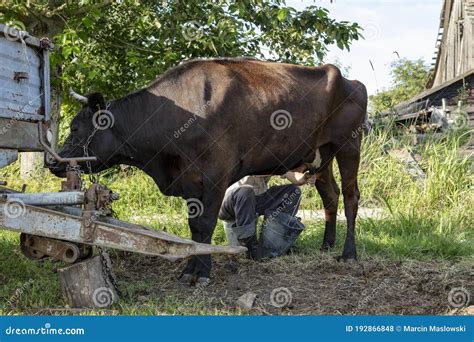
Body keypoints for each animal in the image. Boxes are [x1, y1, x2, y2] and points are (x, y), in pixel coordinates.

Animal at [52, 57, 370, 284]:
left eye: (76, 128)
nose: (54, 162)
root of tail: (350, 80)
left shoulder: (216, 174)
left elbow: (206, 223)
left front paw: (202, 273)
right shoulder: (191, 181)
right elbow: (195, 227)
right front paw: (189, 270)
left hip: (348, 144)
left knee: (350, 197)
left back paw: (349, 254)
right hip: (321, 155)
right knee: (330, 196)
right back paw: (327, 245)